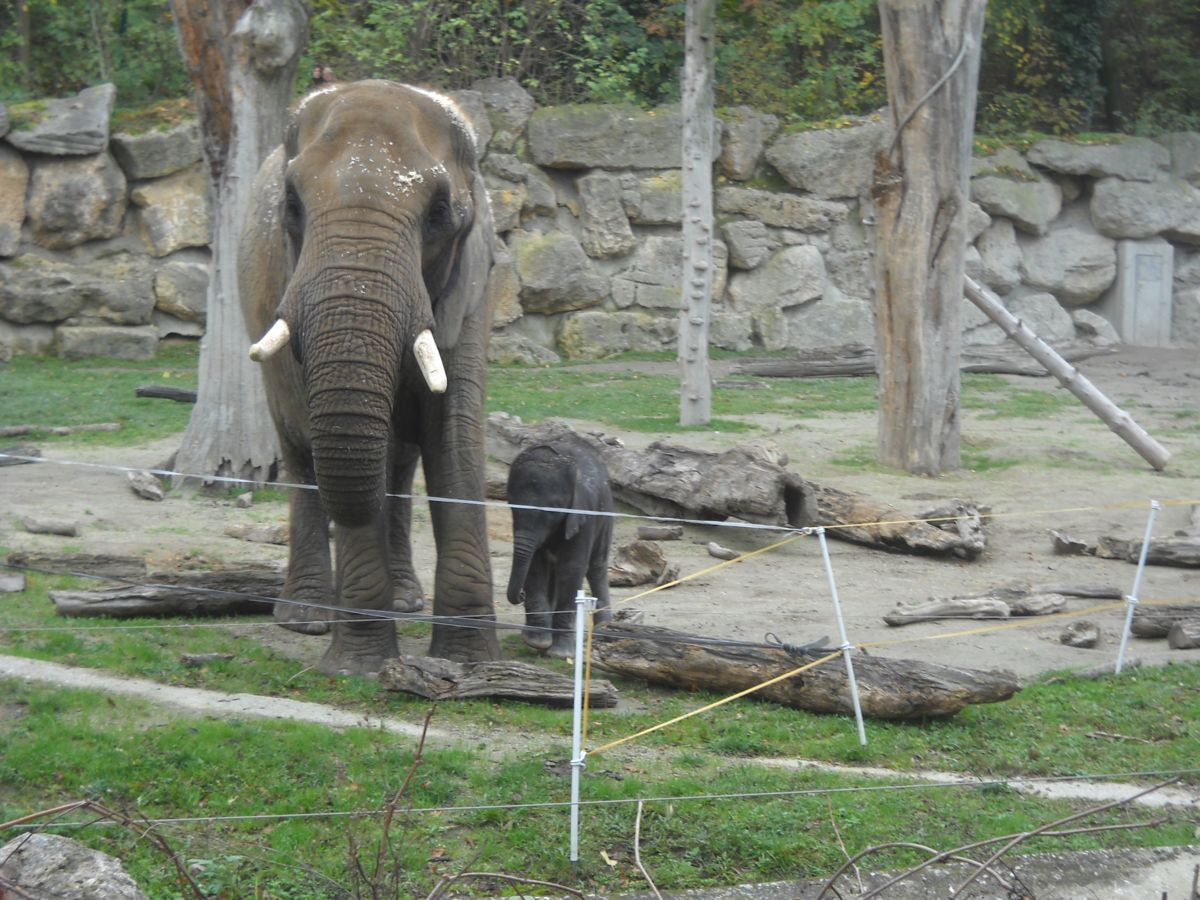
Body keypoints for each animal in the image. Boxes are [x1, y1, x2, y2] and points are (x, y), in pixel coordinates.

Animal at [239, 79, 498, 675]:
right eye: (292, 205)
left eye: (440, 212)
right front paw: (358, 668)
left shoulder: (470, 288)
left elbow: (455, 438)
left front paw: (470, 665)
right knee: (301, 453)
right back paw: (307, 616)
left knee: (398, 465)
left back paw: (403, 601)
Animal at [505, 436, 614, 656]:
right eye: (510, 502)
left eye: (552, 509)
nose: (521, 595)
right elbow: (535, 564)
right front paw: (537, 642)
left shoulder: (584, 514)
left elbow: (572, 568)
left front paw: (560, 654)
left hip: (605, 512)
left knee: (597, 566)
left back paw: (603, 629)